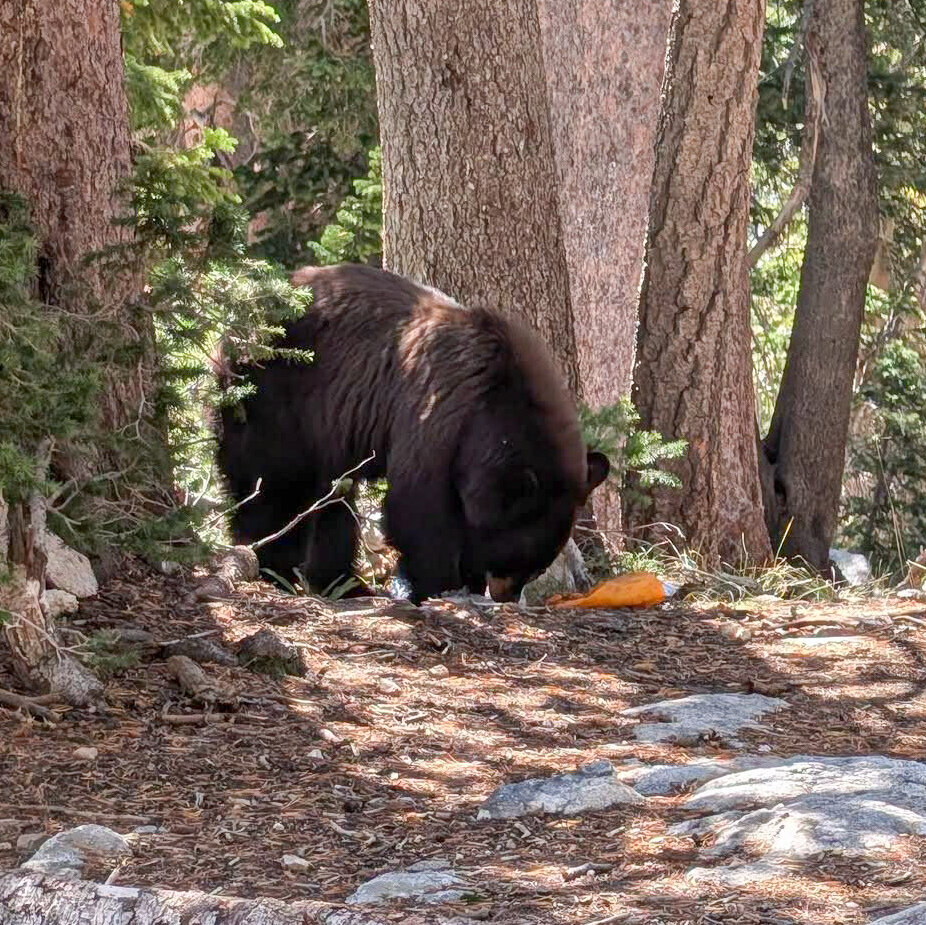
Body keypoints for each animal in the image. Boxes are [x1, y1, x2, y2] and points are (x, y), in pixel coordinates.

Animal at [215, 264, 609, 604]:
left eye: (538, 566)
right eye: (516, 559)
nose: (506, 596)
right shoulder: (438, 417)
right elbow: (418, 506)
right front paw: (438, 584)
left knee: (334, 500)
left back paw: (344, 583)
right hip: (270, 395)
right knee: (273, 483)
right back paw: (272, 566)